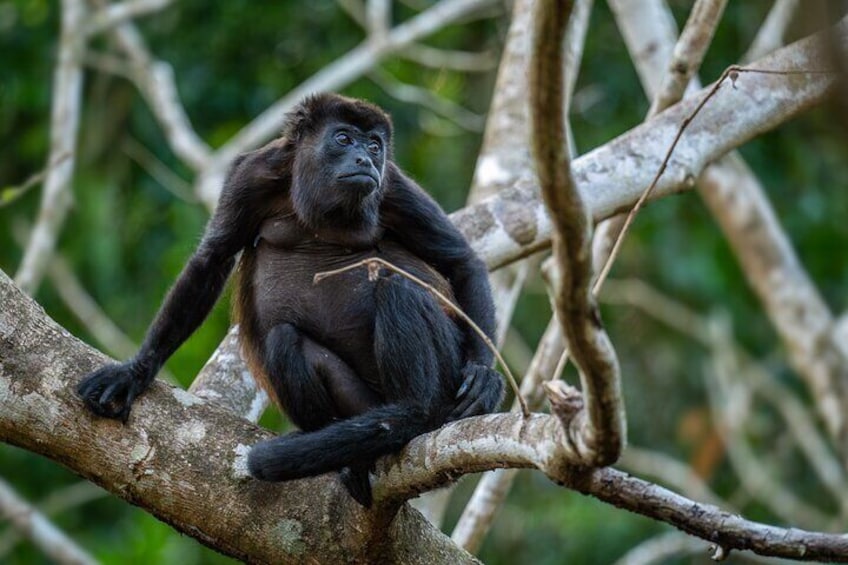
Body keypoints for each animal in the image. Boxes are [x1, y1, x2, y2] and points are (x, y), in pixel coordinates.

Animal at [78, 93, 504, 506]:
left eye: (375, 145)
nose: (366, 159)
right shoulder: (251, 175)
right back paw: (358, 457)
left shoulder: (394, 188)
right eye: (343, 138)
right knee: (284, 338)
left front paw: (484, 375)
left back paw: (413, 413)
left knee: (396, 288)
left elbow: (461, 261)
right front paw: (135, 372)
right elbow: (211, 259)